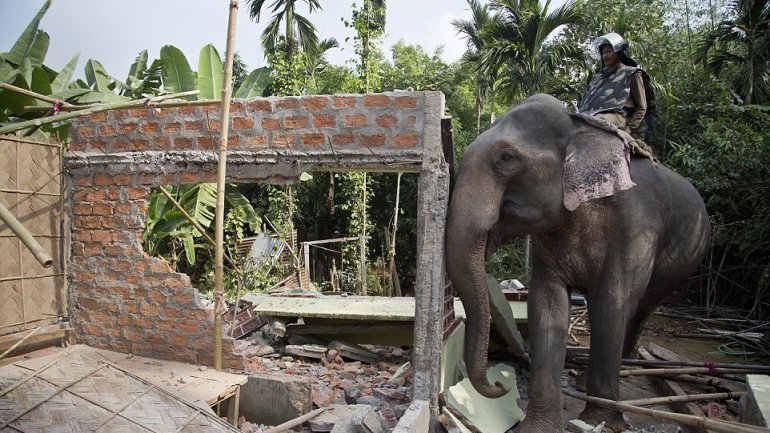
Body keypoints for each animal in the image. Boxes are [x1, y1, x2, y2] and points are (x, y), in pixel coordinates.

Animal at [444, 93, 708, 430]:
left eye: (506, 158)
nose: (500, 383)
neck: (579, 126)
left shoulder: (636, 226)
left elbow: (611, 302)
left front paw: (600, 421)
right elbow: (546, 304)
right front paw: (539, 428)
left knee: (640, 308)